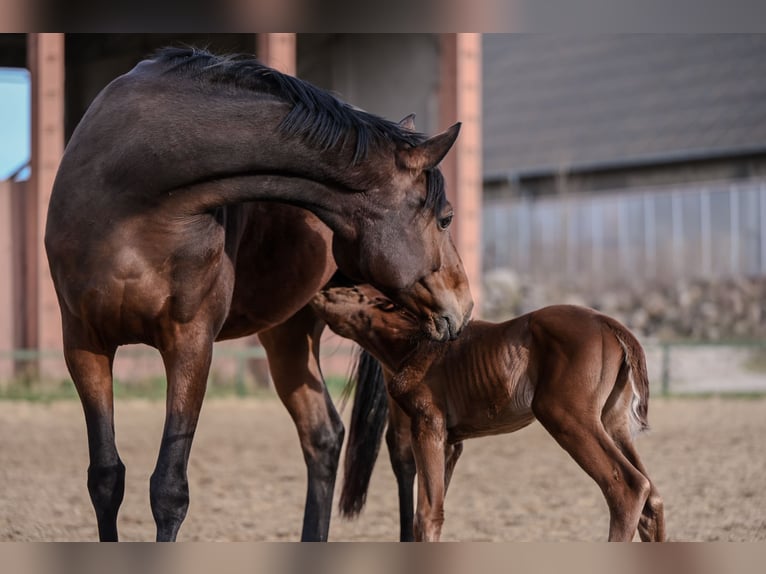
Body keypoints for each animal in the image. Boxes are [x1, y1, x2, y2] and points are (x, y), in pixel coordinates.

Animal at [44, 47, 473, 542]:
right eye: (445, 217)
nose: (465, 306)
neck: (133, 189)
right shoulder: (84, 344)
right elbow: (106, 478)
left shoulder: (190, 344)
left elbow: (168, 489)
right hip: (290, 334)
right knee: (324, 437)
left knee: (402, 448)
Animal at [310, 284, 666, 542]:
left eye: (353, 292)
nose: (318, 294)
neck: (413, 343)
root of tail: (609, 323)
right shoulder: (451, 443)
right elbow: (433, 510)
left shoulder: (428, 425)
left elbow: (426, 516)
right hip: (612, 424)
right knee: (652, 499)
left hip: (566, 417)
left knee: (628, 488)